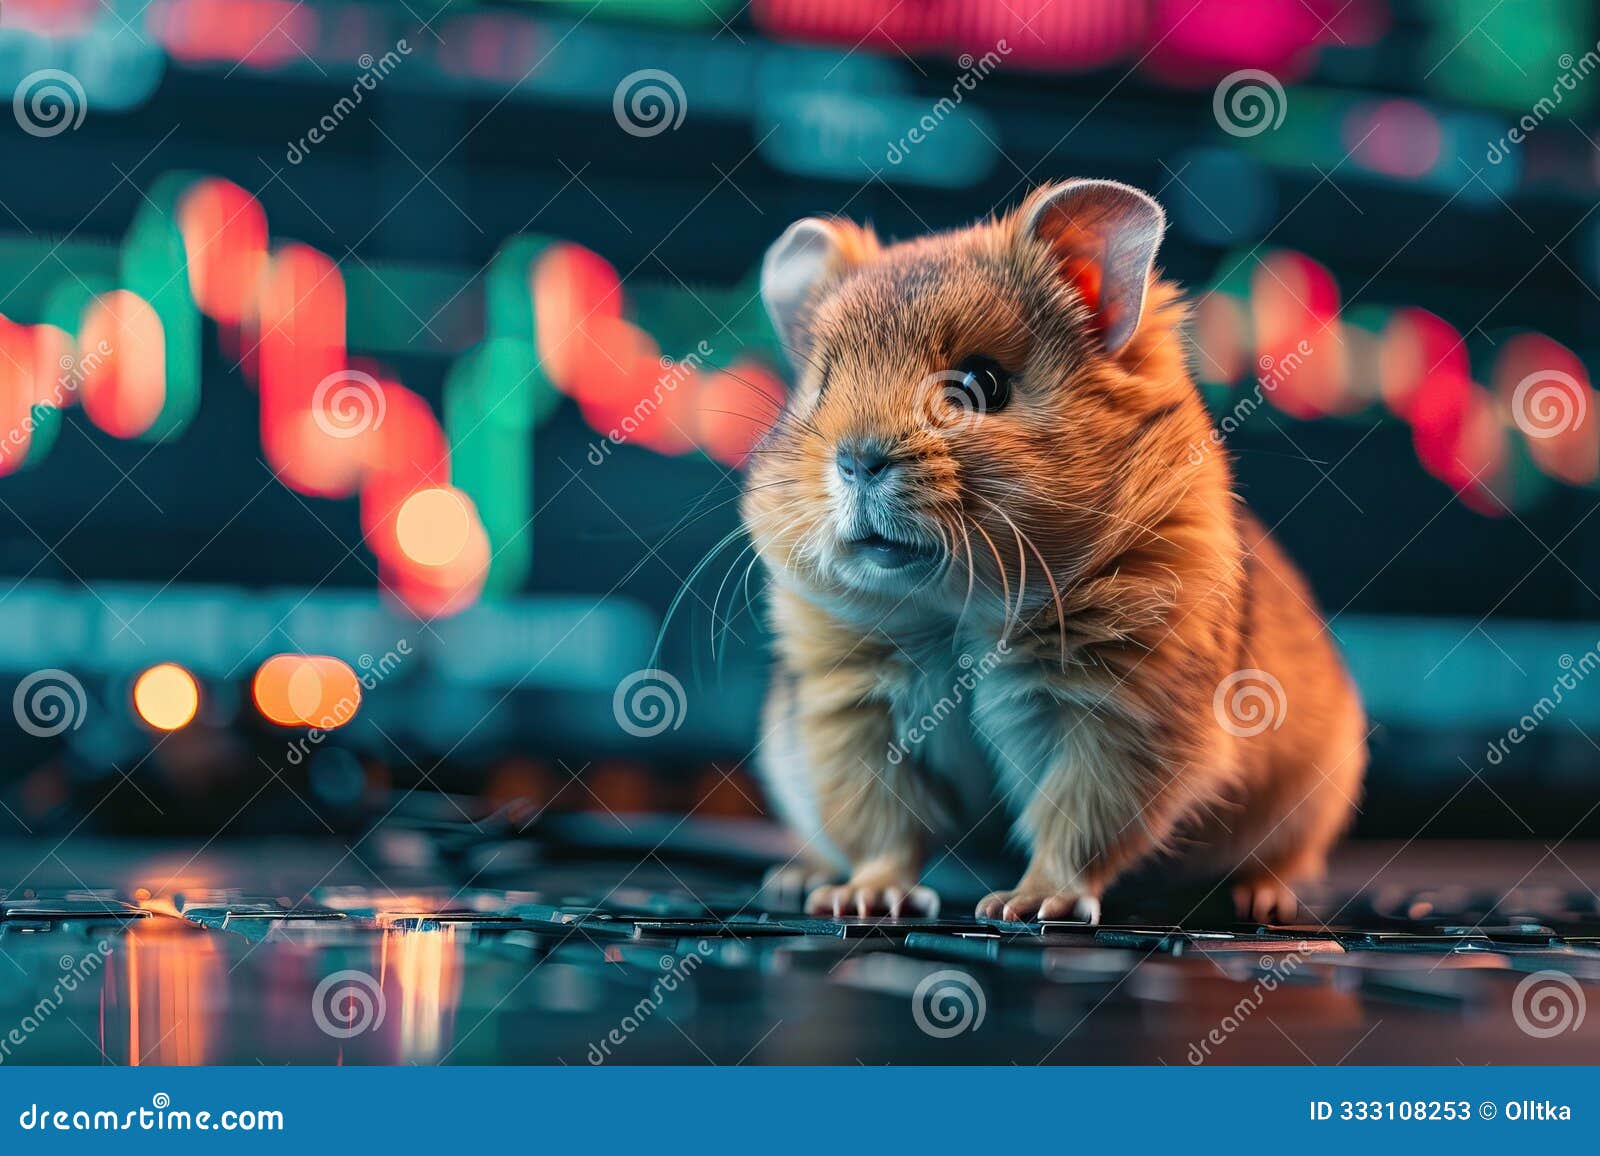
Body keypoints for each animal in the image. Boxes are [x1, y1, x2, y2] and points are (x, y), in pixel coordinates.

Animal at [741, 180, 1367, 924]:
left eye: (981, 383)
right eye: (820, 386)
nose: (858, 459)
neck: (959, 605)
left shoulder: (1120, 715)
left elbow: (1075, 827)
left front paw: (1027, 907)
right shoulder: (854, 711)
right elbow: (882, 830)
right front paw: (861, 902)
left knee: (1284, 859)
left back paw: (1258, 901)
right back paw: (798, 881)